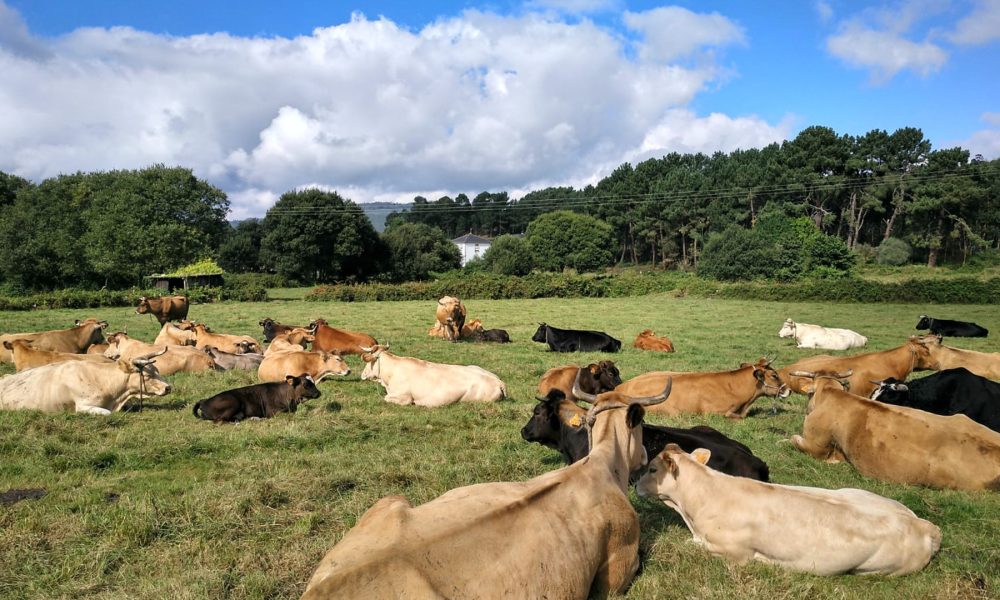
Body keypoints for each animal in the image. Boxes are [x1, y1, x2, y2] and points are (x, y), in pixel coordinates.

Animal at [192, 375, 321, 423]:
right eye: (306, 384)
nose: (319, 393)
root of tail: (204, 401)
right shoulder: (273, 412)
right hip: (233, 403)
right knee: (220, 421)